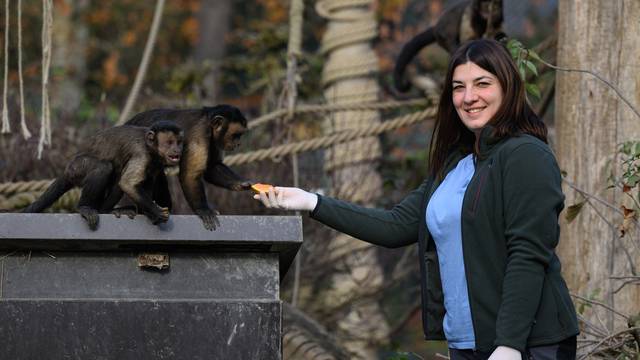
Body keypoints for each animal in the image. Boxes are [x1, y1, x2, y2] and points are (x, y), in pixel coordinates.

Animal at [22, 119, 182, 229]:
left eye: (178, 142)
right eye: (169, 142)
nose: (177, 150)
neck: (151, 150)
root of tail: (67, 169)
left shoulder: (155, 163)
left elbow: (145, 182)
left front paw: (150, 214)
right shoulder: (142, 154)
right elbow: (127, 184)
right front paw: (157, 212)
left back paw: (105, 209)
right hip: (77, 168)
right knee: (104, 167)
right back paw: (86, 208)